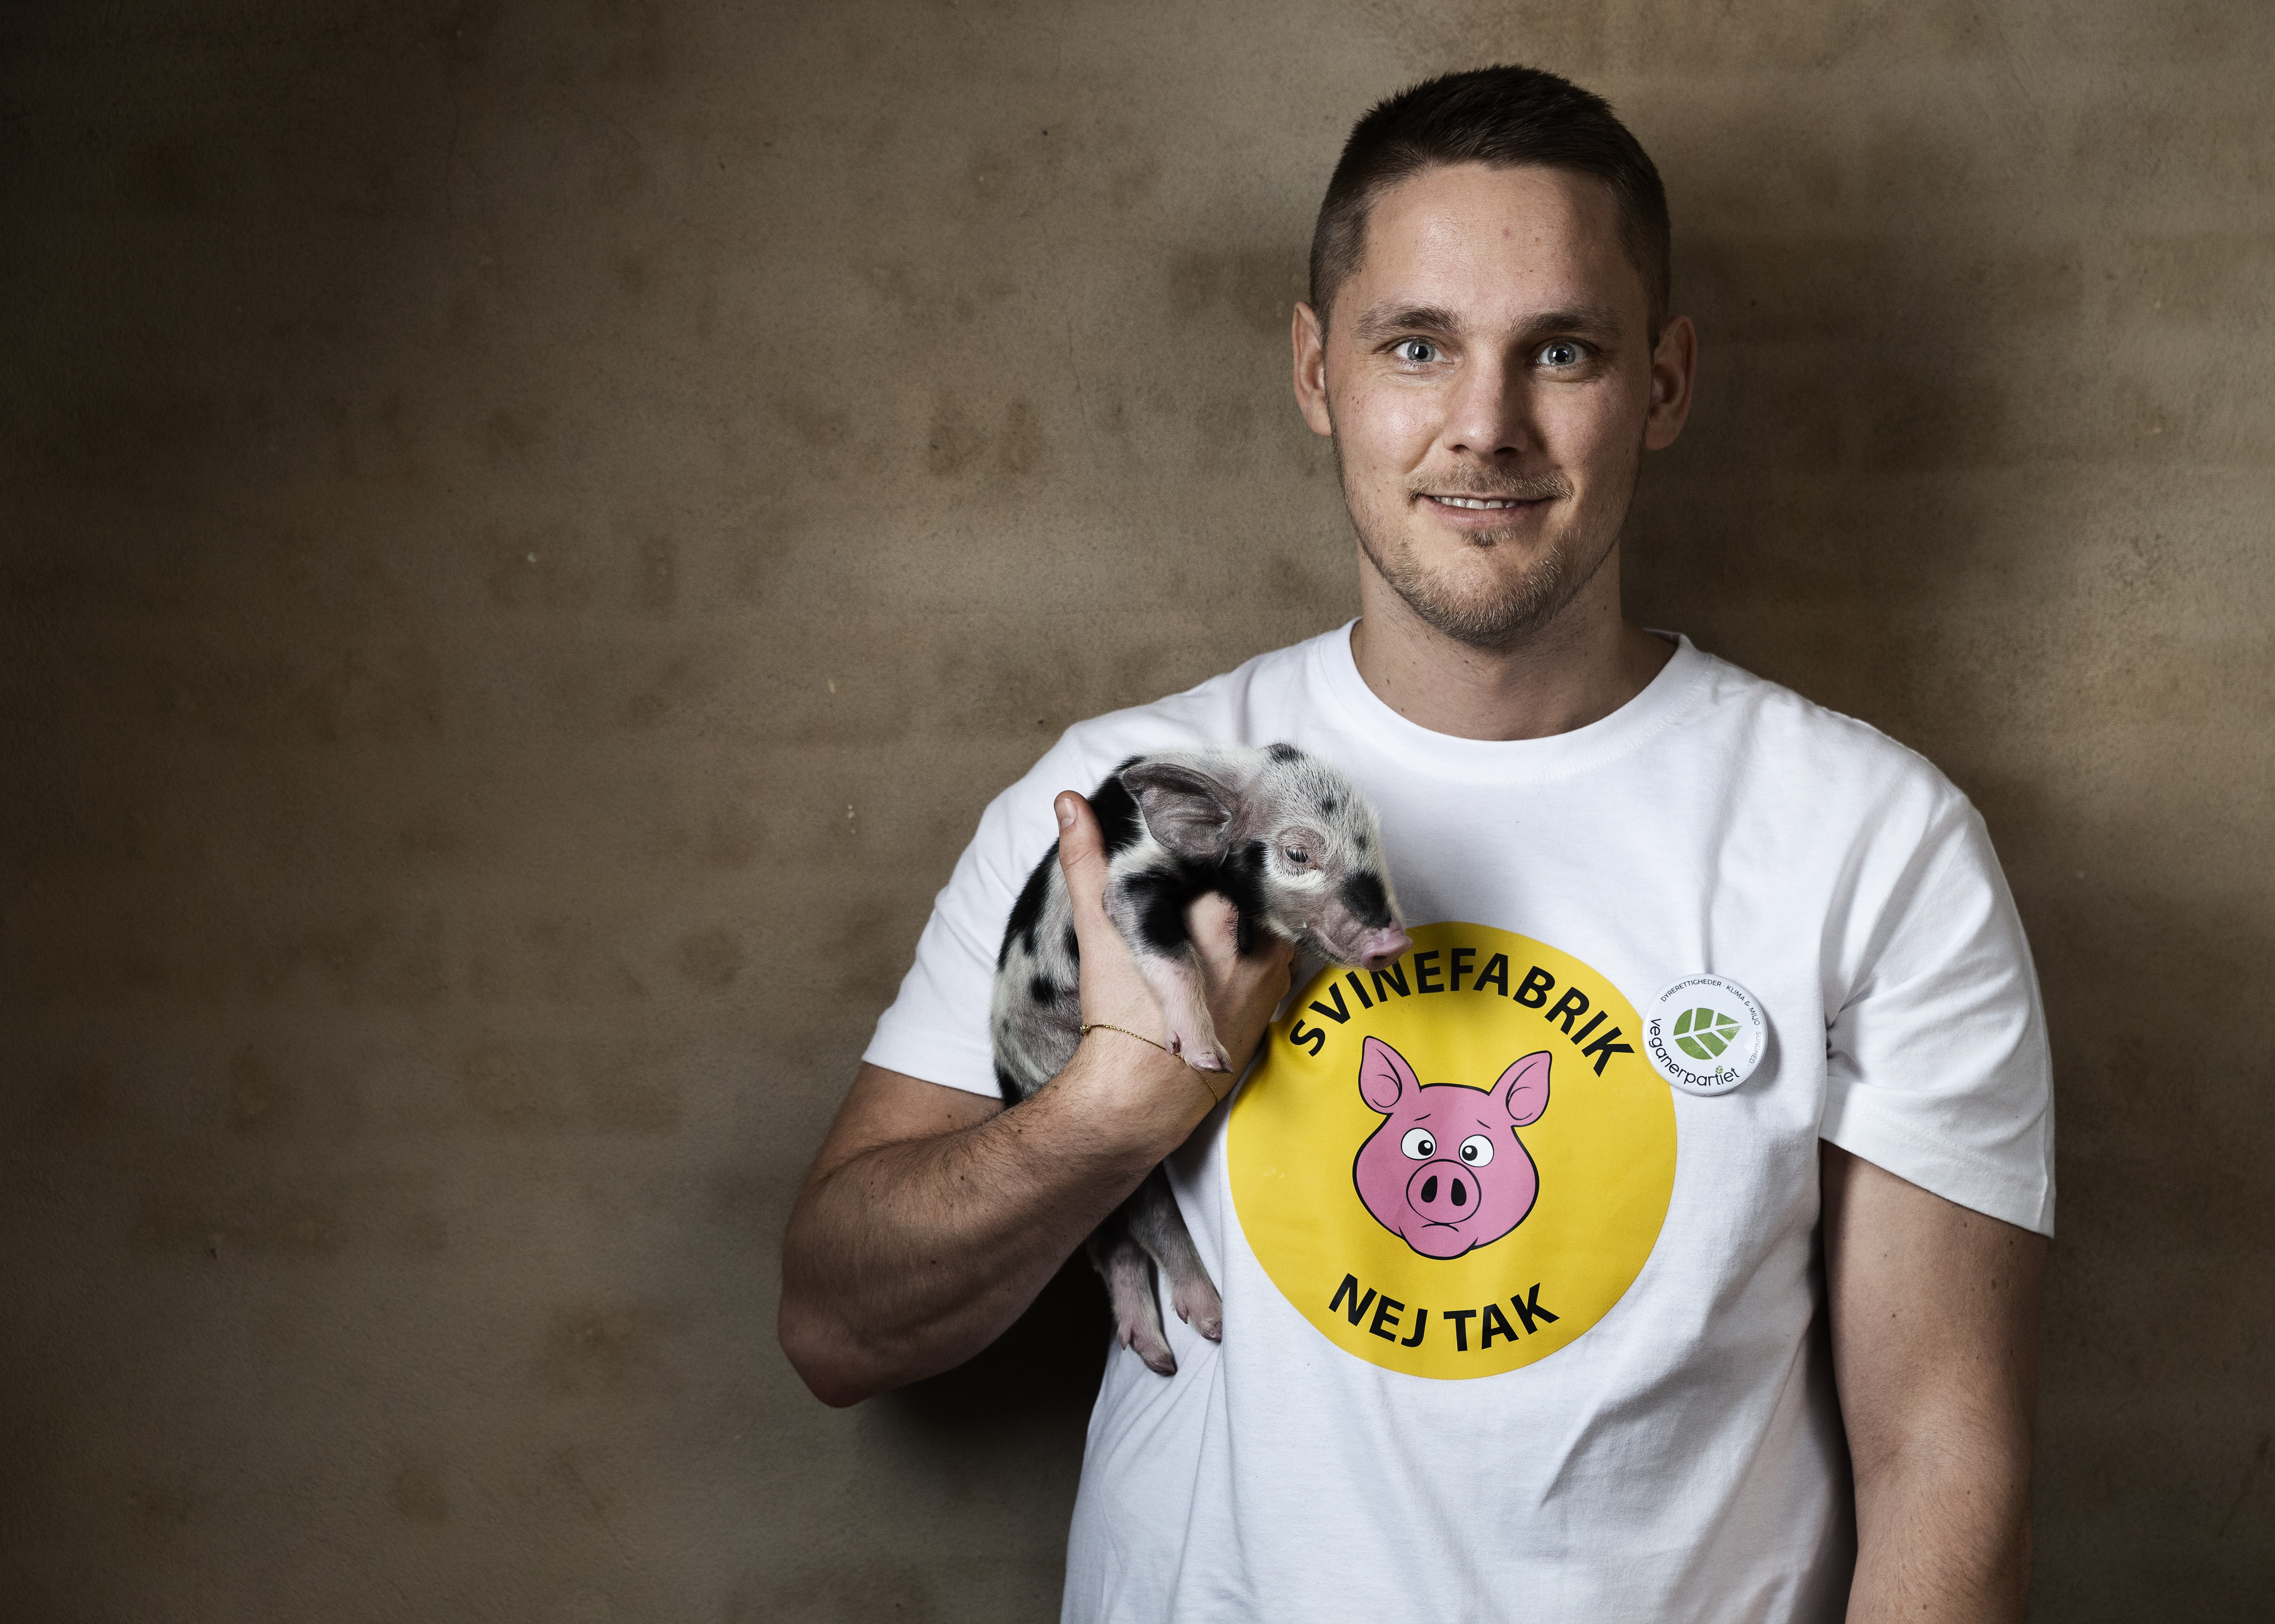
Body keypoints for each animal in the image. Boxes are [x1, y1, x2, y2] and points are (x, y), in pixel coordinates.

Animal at [992, 744, 1410, 1374]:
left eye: (1377, 845)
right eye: (1297, 854)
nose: (1394, 943)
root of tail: (1008, 1075)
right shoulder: (1132, 877)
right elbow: (1167, 947)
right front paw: (1208, 1059)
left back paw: (1161, 1357)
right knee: (1142, 1218)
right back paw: (1203, 1331)